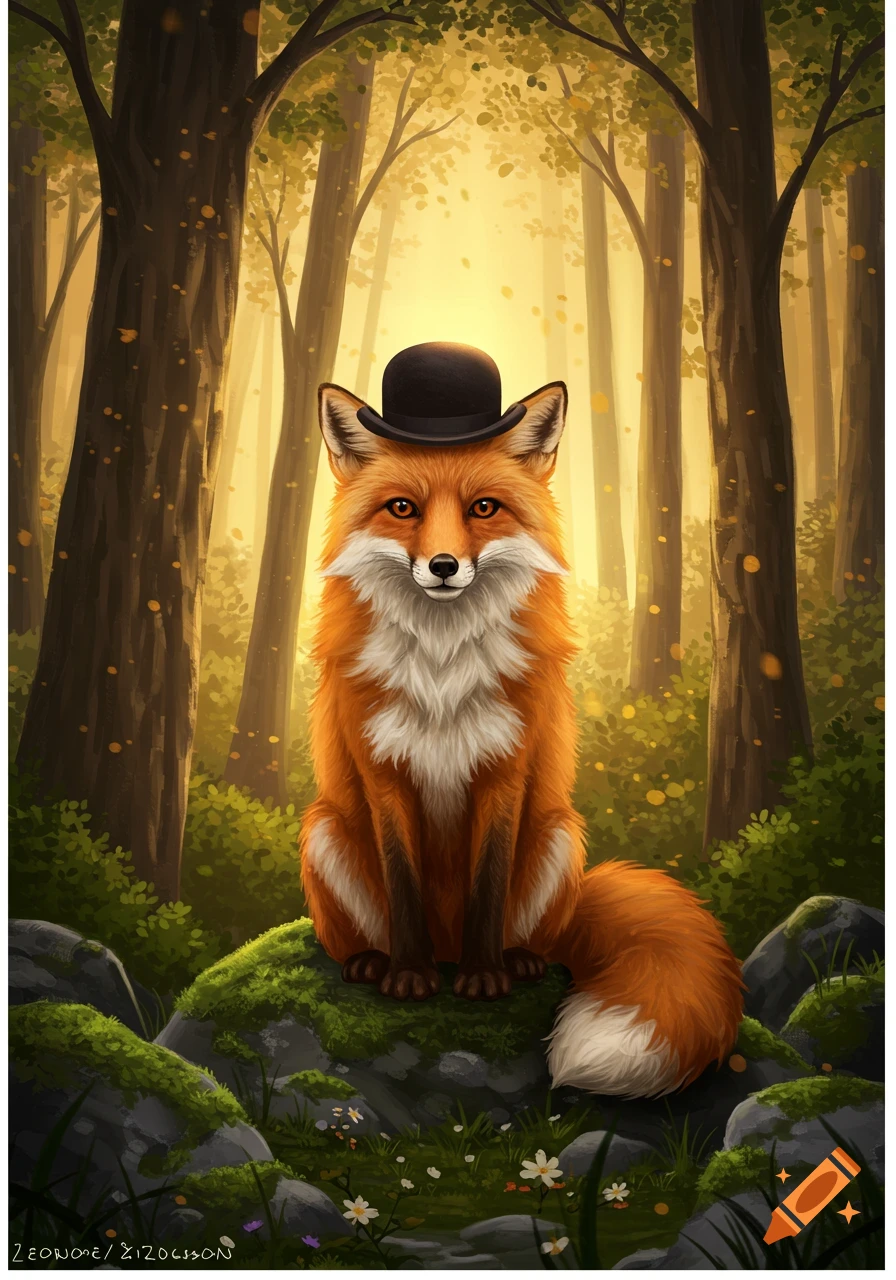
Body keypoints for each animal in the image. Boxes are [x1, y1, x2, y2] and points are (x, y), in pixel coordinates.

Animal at [300, 375, 743, 1098]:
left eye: (484, 507)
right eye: (403, 508)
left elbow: (487, 884)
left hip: (559, 834)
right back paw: (372, 960)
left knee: (531, 934)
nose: (443, 566)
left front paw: (485, 980)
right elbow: (403, 885)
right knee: (361, 930)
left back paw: (517, 960)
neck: (442, 665)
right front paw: (408, 978)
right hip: (325, 828)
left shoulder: (506, 769)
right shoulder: (383, 773)